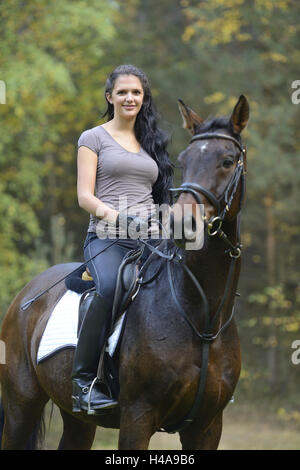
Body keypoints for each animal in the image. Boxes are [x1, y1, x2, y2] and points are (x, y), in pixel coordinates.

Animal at [0, 94, 248, 448]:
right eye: (184, 161)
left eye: (227, 161)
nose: (182, 223)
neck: (202, 317)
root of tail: (26, 295)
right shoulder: (138, 417)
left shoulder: (207, 425)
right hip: (21, 406)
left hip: (77, 419)